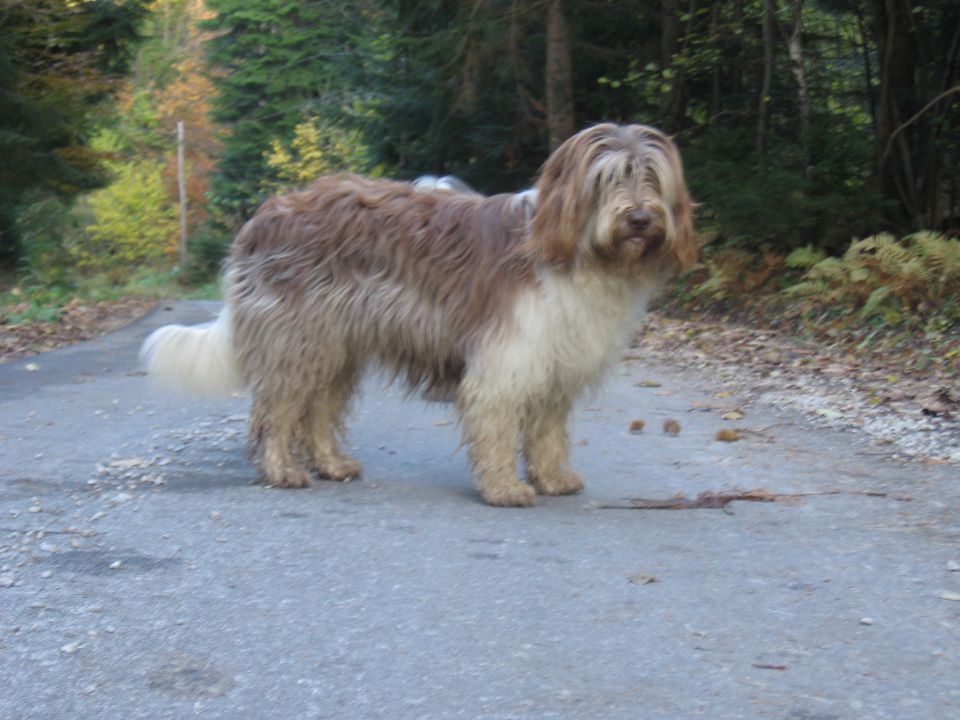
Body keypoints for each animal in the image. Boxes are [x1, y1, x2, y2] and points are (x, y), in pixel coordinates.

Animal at [141, 122, 696, 506]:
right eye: (609, 178)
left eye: (652, 177)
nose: (640, 218)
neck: (579, 253)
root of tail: (262, 217)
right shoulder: (508, 361)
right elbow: (497, 427)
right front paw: (503, 487)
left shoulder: (553, 362)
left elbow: (546, 433)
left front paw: (553, 477)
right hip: (295, 342)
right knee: (278, 412)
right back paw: (283, 471)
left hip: (334, 345)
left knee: (317, 411)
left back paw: (332, 464)